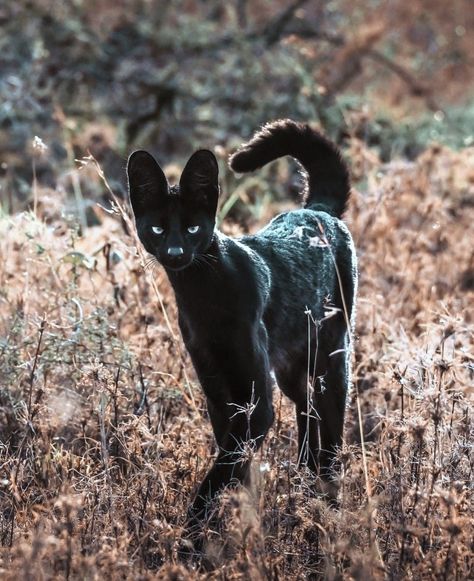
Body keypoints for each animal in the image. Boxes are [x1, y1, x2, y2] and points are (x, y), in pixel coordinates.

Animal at [128, 120, 358, 532]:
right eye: (156, 228)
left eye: (192, 228)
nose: (175, 253)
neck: (201, 294)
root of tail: (317, 210)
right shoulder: (219, 391)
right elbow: (231, 459)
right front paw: (231, 518)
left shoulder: (256, 401)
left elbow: (224, 467)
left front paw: (193, 533)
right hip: (290, 366)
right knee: (307, 409)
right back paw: (304, 480)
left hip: (332, 357)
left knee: (330, 426)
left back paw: (328, 497)